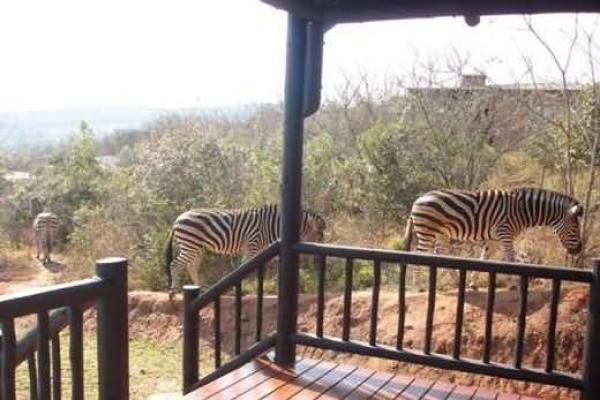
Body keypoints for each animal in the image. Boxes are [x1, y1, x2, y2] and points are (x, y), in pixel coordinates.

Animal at [164, 203, 326, 296]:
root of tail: (178, 219)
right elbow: (243, 268)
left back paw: (200, 289)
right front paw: (239, 290)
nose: (318, 260)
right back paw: (173, 291)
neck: (271, 226)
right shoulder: (252, 245)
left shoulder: (257, 250)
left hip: (197, 248)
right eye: (320, 233)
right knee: (175, 264)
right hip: (190, 245)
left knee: (191, 267)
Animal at [404, 188, 580, 262]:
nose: (579, 250)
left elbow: (485, 257)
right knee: (419, 253)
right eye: (575, 228)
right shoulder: (506, 233)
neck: (521, 210)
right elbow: (510, 259)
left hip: (441, 233)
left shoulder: (495, 238)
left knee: (438, 254)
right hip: (426, 231)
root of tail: (416, 200)